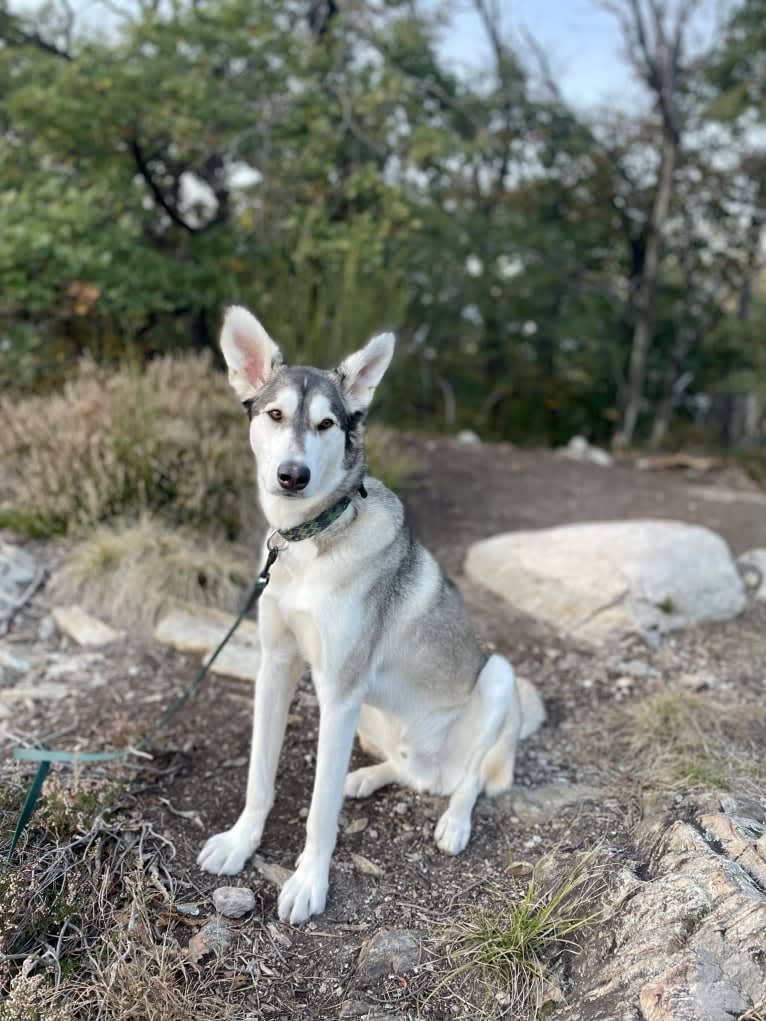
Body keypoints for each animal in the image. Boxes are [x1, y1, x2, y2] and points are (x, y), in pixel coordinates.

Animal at [198, 304, 547, 927]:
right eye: (275, 414)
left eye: (326, 425)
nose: (292, 476)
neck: (309, 544)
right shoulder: (276, 667)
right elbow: (259, 776)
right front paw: (241, 842)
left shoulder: (337, 693)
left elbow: (319, 808)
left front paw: (309, 882)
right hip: (367, 717)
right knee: (407, 770)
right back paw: (366, 778)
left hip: (497, 676)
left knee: (469, 781)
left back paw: (453, 822)